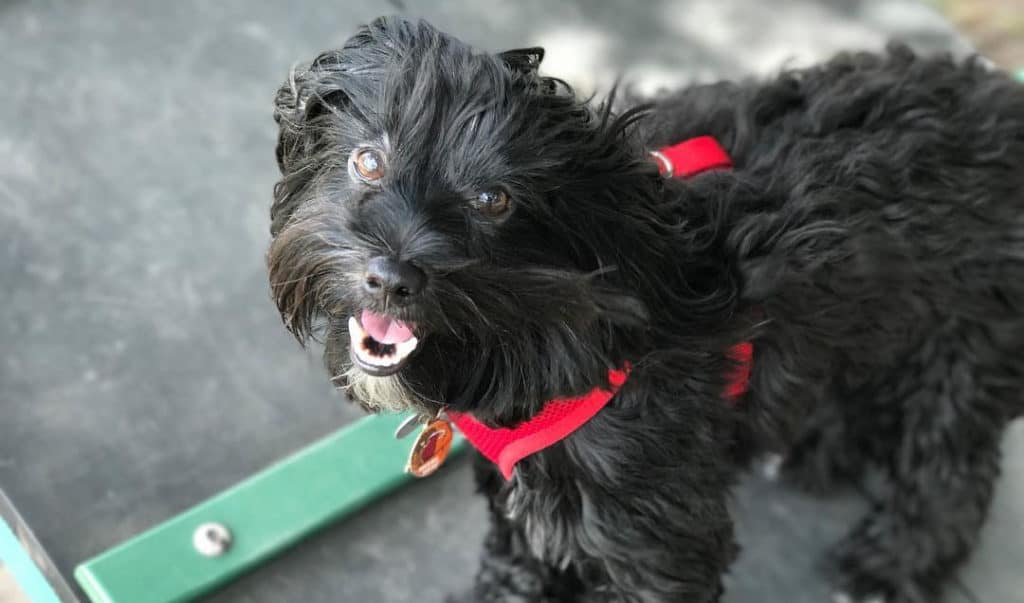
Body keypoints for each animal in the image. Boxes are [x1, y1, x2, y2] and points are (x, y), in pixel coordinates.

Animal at [266, 17, 1024, 601]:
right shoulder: (525, 511)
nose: (390, 277)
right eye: (368, 162)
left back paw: (893, 562)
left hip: (967, 342)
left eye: (494, 200)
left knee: (952, 466)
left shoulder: (653, 537)